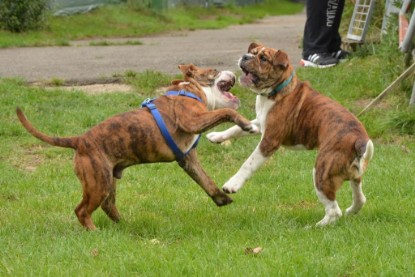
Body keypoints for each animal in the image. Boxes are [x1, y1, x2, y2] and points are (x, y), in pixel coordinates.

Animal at [17, 64, 256, 229]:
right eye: (214, 70)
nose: (233, 71)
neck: (190, 90)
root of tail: (80, 140)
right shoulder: (193, 120)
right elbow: (226, 111)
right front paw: (246, 123)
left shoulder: (188, 159)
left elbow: (205, 180)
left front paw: (221, 198)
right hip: (98, 183)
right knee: (82, 210)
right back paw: (94, 231)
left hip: (107, 180)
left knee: (108, 205)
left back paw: (123, 225)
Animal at [210, 42, 376, 225]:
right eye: (252, 52)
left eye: (263, 59)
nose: (245, 57)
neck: (275, 91)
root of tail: (359, 141)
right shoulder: (260, 123)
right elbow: (237, 128)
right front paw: (216, 136)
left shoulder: (270, 140)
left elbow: (249, 163)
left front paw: (232, 184)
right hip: (353, 174)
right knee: (360, 198)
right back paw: (351, 211)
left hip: (321, 171)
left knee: (334, 210)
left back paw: (315, 226)